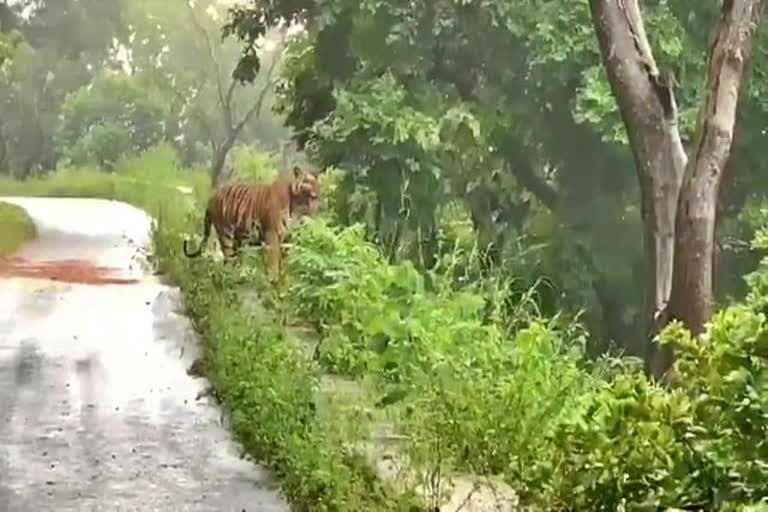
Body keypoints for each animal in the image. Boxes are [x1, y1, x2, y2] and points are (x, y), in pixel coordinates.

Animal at [183, 165, 320, 278]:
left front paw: (283, 280)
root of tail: (213, 194)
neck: (298, 205)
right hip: (225, 232)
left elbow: (283, 261)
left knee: (235, 259)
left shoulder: (288, 237)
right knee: (228, 258)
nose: (316, 193)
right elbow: (274, 261)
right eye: (307, 181)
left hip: (240, 238)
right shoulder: (272, 235)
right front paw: (274, 280)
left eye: (316, 183)